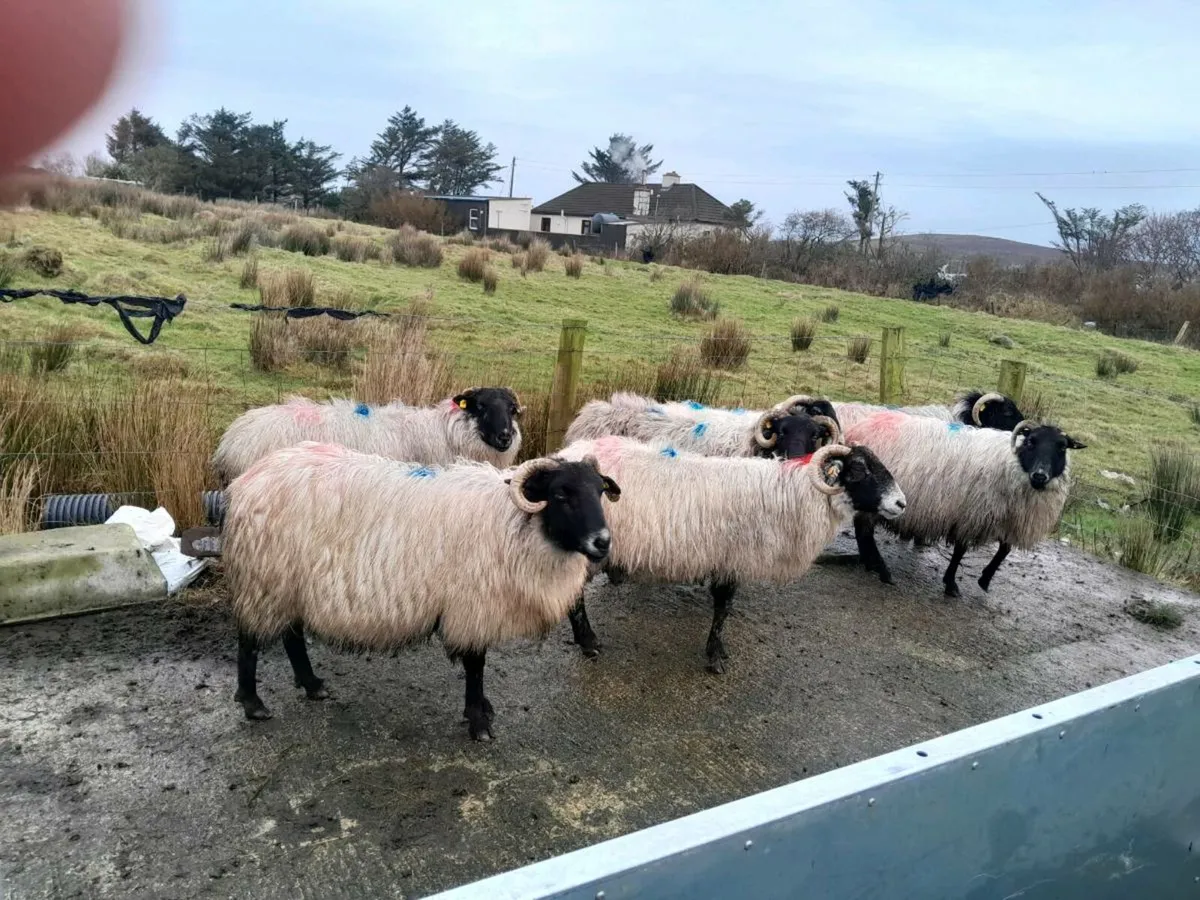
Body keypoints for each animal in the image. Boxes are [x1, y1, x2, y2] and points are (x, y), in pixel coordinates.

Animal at [222, 442, 621, 741]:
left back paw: (311, 684)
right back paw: (253, 704)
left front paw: (482, 710)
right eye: (560, 495)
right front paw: (478, 721)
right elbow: (476, 664)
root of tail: (247, 481)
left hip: (287, 585)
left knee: (291, 636)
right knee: (249, 641)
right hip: (265, 579)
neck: (511, 523)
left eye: (600, 491)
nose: (603, 542)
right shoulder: (469, 606)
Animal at [555, 436, 905, 672]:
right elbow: (723, 608)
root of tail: (565, 455)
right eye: (859, 469)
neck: (791, 495)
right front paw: (715, 656)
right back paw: (589, 643)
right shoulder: (731, 558)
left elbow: (723, 608)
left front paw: (716, 652)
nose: (901, 503)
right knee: (574, 597)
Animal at [843, 411, 1085, 596]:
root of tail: (856, 429)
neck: (1010, 462)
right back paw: (882, 570)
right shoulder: (970, 513)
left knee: (862, 531)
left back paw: (870, 564)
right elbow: (961, 550)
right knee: (865, 531)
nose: (1040, 475)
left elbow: (1004, 549)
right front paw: (951, 584)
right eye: (1031, 441)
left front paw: (985, 580)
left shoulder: (1008, 516)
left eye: (1062, 447)